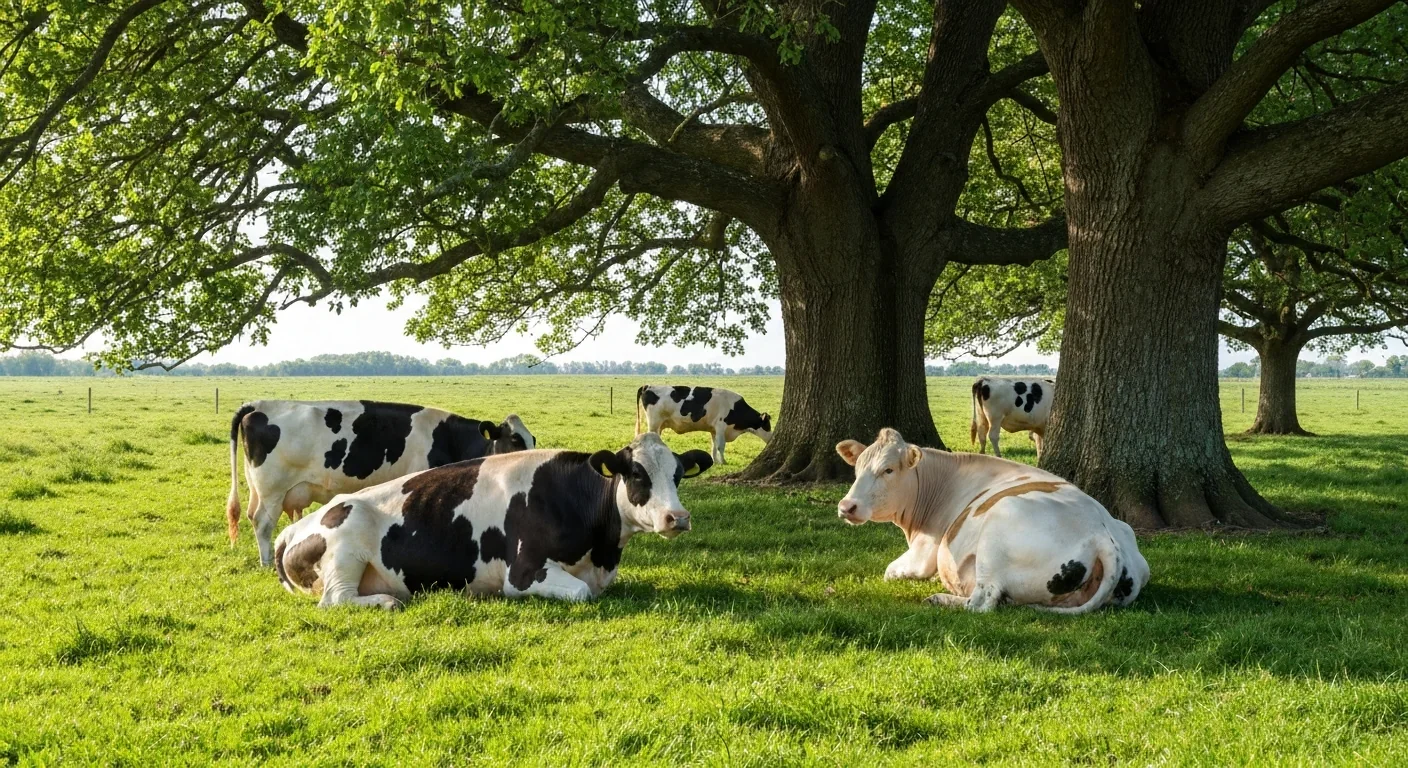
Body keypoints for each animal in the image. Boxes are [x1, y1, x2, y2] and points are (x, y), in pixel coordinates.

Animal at [226, 399, 535, 567]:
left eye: (533, 439)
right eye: (515, 439)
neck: (450, 439)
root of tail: (261, 405)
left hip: (258, 489)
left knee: (254, 517)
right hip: (273, 490)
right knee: (263, 523)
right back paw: (266, 562)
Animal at [272, 433, 714, 608]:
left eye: (677, 475)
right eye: (637, 475)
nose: (678, 517)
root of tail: (292, 529)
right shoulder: (523, 573)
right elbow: (580, 593)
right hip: (346, 548)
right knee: (336, 599)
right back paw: (385, 602)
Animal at [635, 385, 772, 464]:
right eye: (767, 425)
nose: (771, 438)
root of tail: (648, 386)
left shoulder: (714, 430)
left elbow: (714, 446)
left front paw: (715, 462)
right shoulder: (721, 426)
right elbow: (721, 446)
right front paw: (724, 462)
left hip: (658, 425)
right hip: (653, 422)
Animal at [835, 428, 1148, 614]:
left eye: (888, 470)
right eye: (857, 468)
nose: (846, 506)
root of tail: (1102, 534)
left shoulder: (924, 552)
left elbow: (890, 571)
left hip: (1000, 523)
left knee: (982, 601)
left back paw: (940, 598)